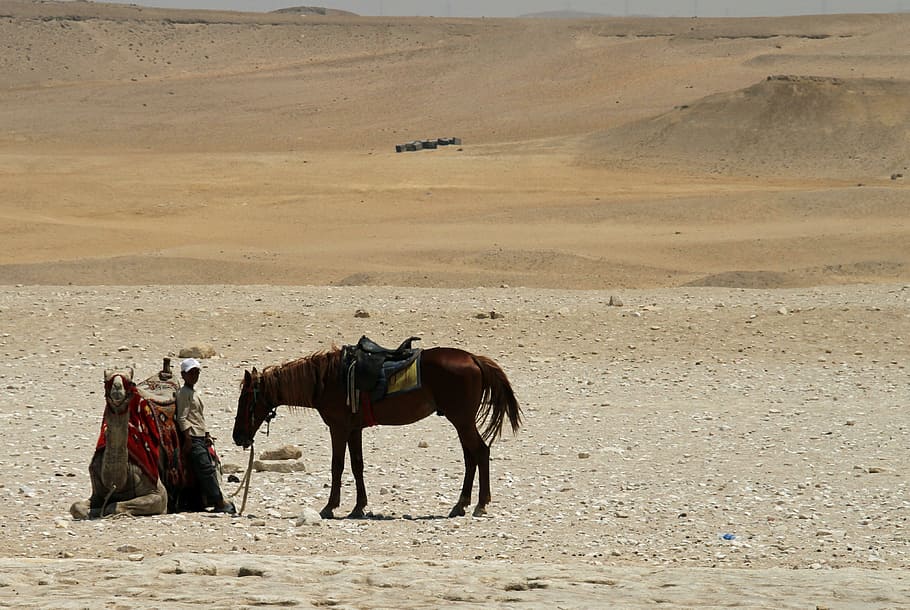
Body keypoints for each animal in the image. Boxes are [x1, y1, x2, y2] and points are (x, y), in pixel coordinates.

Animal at [70, 360, 220, 519]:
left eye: (130, 381)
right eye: (106, 381)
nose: (117, 389)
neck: (116, 483)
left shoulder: (157, 492)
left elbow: (114, 507)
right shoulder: (97, 491)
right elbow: (76, 507)